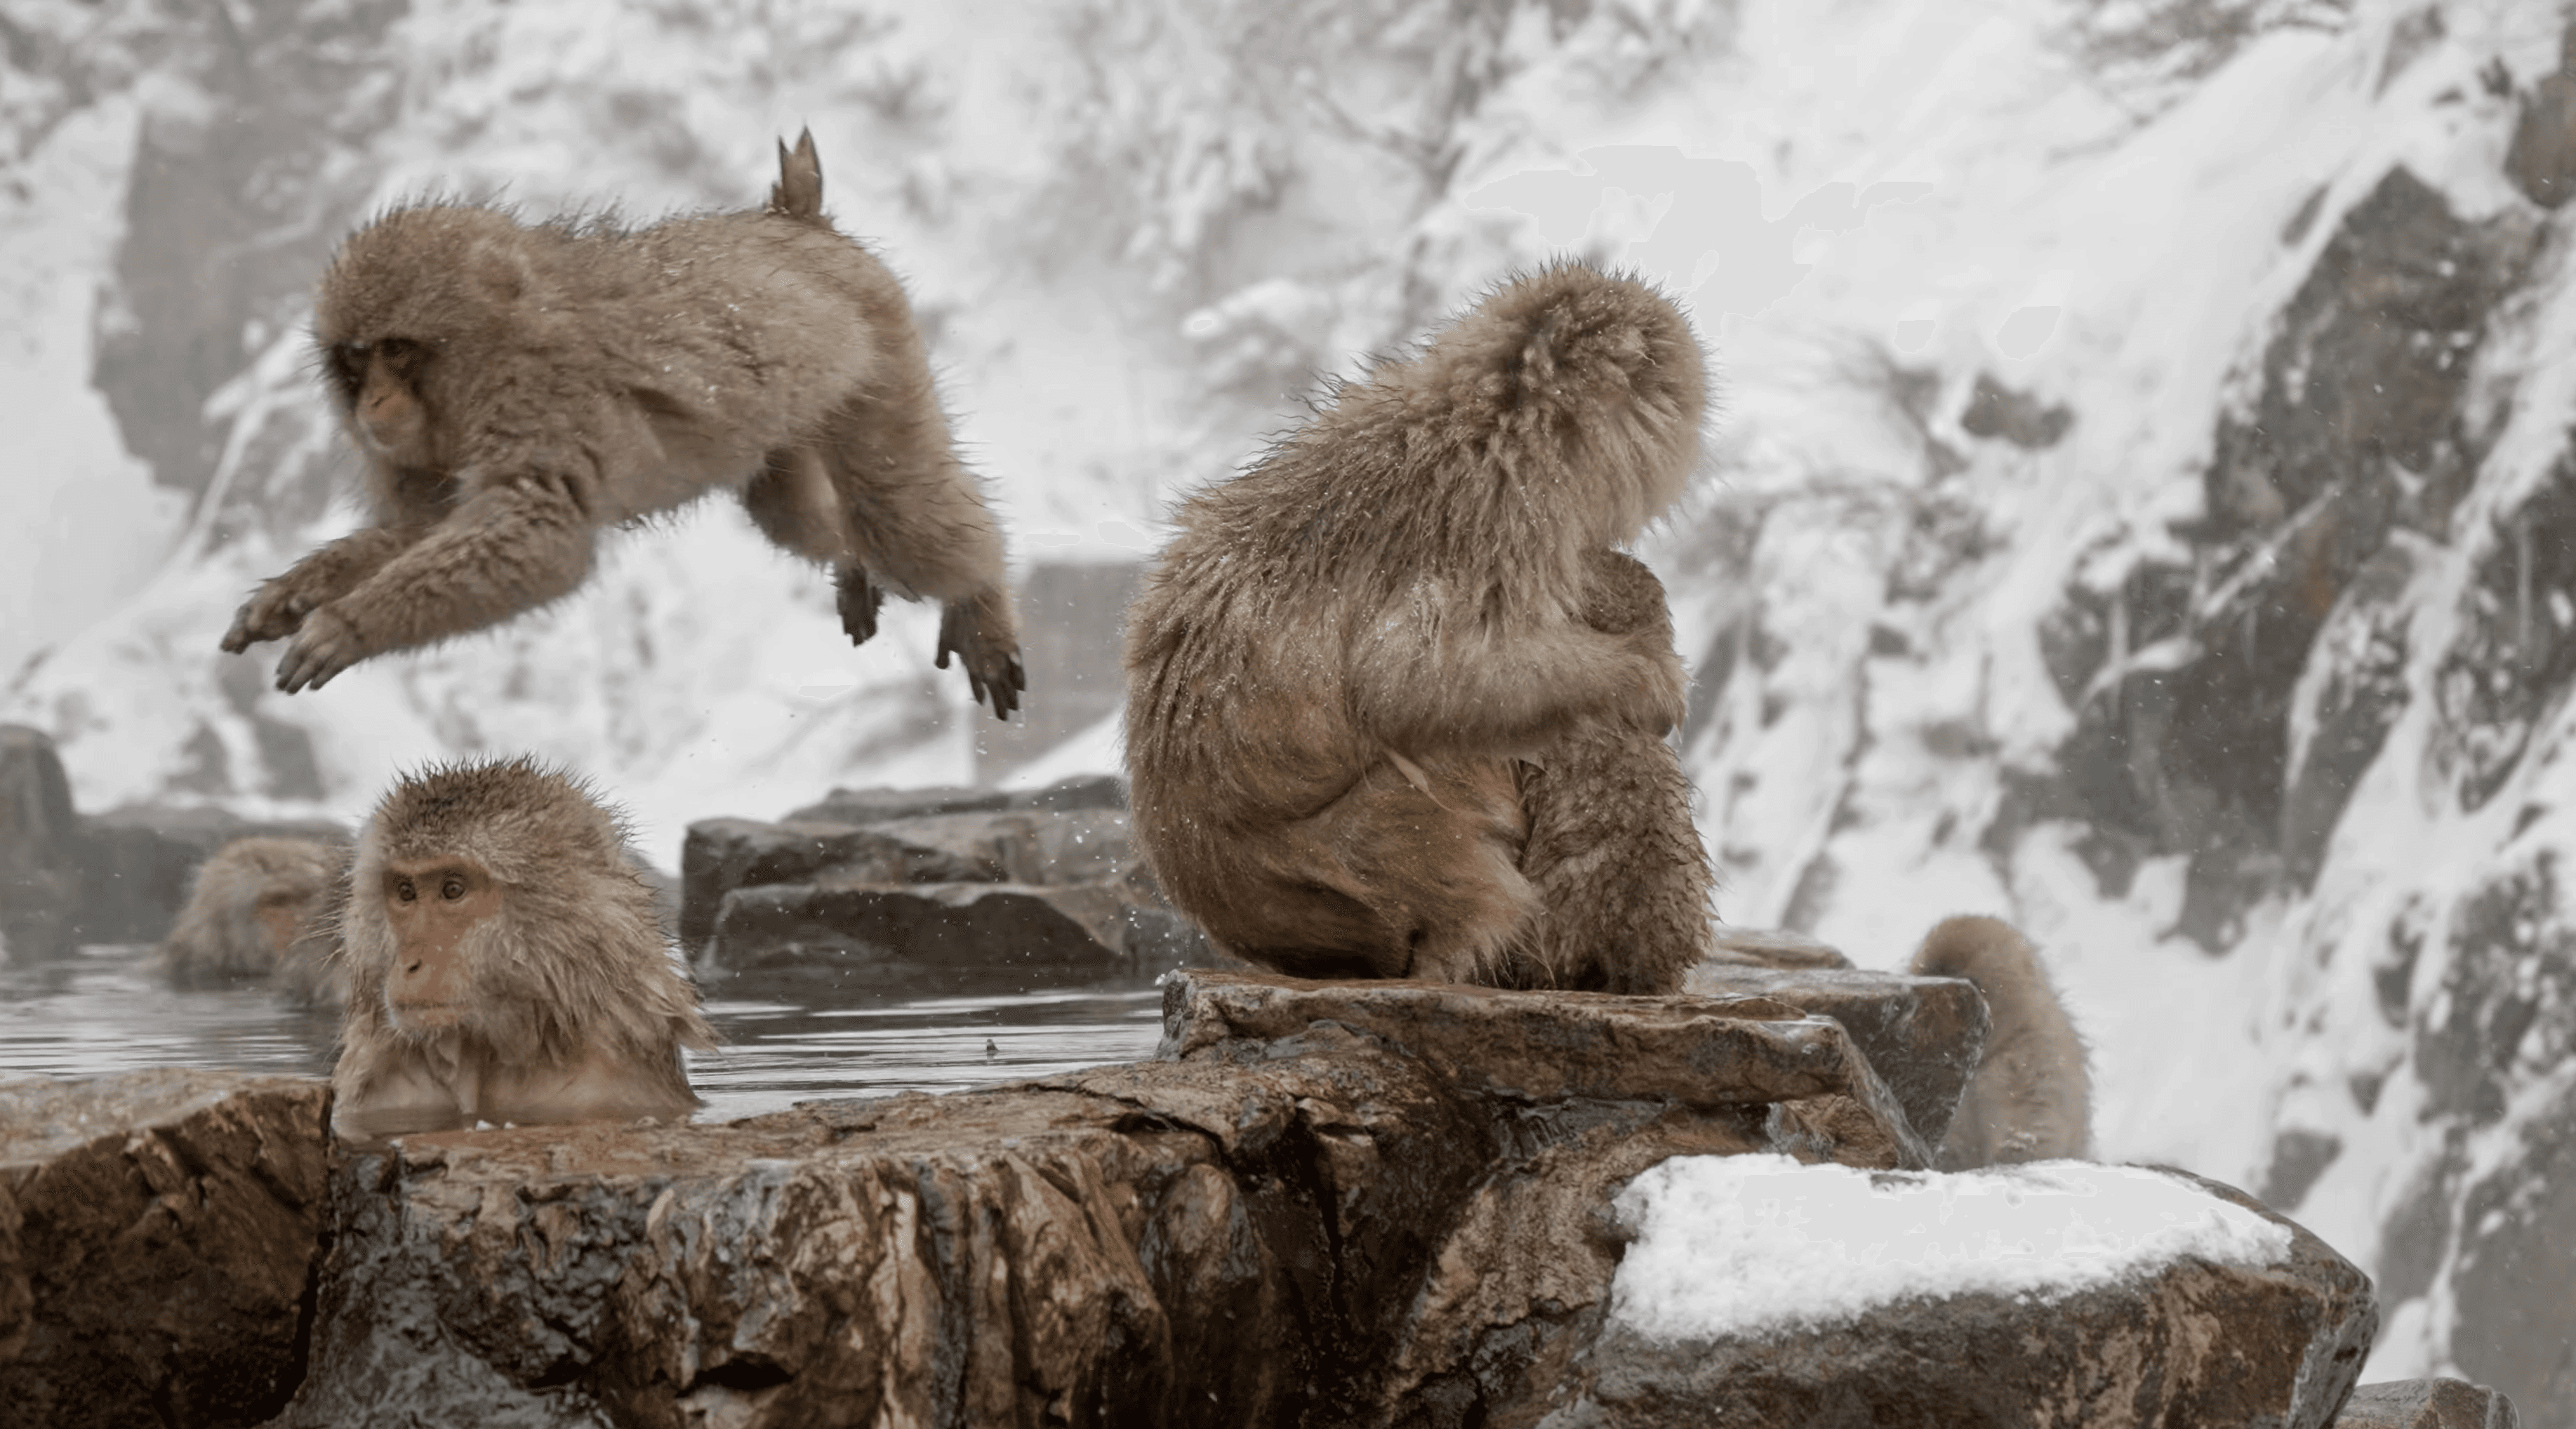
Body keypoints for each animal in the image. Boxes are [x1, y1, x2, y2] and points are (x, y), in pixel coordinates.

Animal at [220, 130, 1025, 719]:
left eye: (396, 350)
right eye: (355, 360)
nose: (373, 407)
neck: (494, 343)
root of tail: (799, 224)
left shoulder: (538, 397)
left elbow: (537, 529)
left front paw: (347, 624)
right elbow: (423, 529)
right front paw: (295, 593)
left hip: (881, 354)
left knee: (899, 510)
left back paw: (978, 595)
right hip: (789, 421)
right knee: (791, 514)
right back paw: (851, 562)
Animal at [1123, 262, 1708, 987]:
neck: (1498, 408)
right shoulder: (1502, 510)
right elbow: (1410, 683)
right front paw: (1647, 677)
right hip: (1377, 861)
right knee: (1474, 749)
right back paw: (1467, 954)